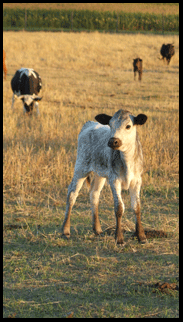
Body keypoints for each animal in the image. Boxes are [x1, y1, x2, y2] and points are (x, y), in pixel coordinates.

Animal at [62, 109, 148, 244]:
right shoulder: (114, 180)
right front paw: (119, 238)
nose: (113, 141)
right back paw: (65, 231)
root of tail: (90, 123)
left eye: (128, 126)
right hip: (81, 167)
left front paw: (141, 236)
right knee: (72, 194)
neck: (127, 160)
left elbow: (136, 207)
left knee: (94, 193)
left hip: (99, 174)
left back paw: (97, 229)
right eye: (110, 125)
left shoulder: (137, 181)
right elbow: (119, 208)